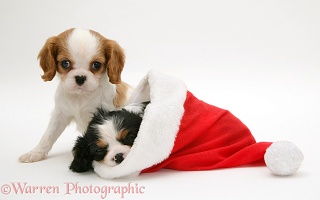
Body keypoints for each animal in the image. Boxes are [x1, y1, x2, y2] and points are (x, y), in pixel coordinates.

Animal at [19, 28, 131, 162]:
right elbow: (48, 135)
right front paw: (36, 152)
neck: (80, 96)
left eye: (96, 65)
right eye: (65, 63)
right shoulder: (59, 114)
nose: (80, 78)